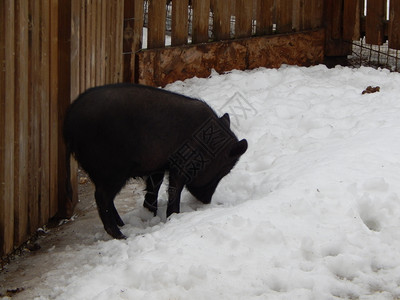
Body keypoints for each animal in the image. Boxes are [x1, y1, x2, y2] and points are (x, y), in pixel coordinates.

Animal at [63, 84, 247, 239]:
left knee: (106, 198)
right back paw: (121, 235)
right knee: (101, 197)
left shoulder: (158, 166)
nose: (207, 201)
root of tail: (69, 124)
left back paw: (122, 224)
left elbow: (155, 187)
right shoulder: (181, 165)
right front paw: (173, 216)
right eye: (225, 171)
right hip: (112, 170)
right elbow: (174, 190)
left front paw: (150, 214)